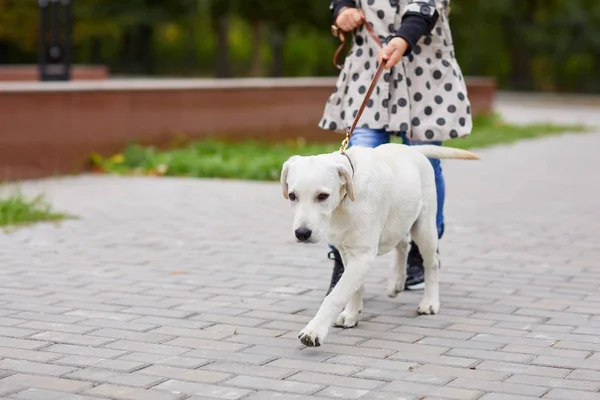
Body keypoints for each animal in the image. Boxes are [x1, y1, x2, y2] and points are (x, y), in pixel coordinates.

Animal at [280, 143, 478, 346]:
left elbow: (336, 295)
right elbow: (354, 288)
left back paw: (430, 302)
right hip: (399, 219)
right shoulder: (347, 251)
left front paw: (314, 331)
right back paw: (397, 282)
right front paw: (352, 314)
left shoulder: (362, 256)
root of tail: (413, 149)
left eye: (322, 196)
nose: (302, 233)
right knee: (402, 244)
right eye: (292, 196)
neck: (346, 200)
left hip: (425, 228)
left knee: (432, 263)